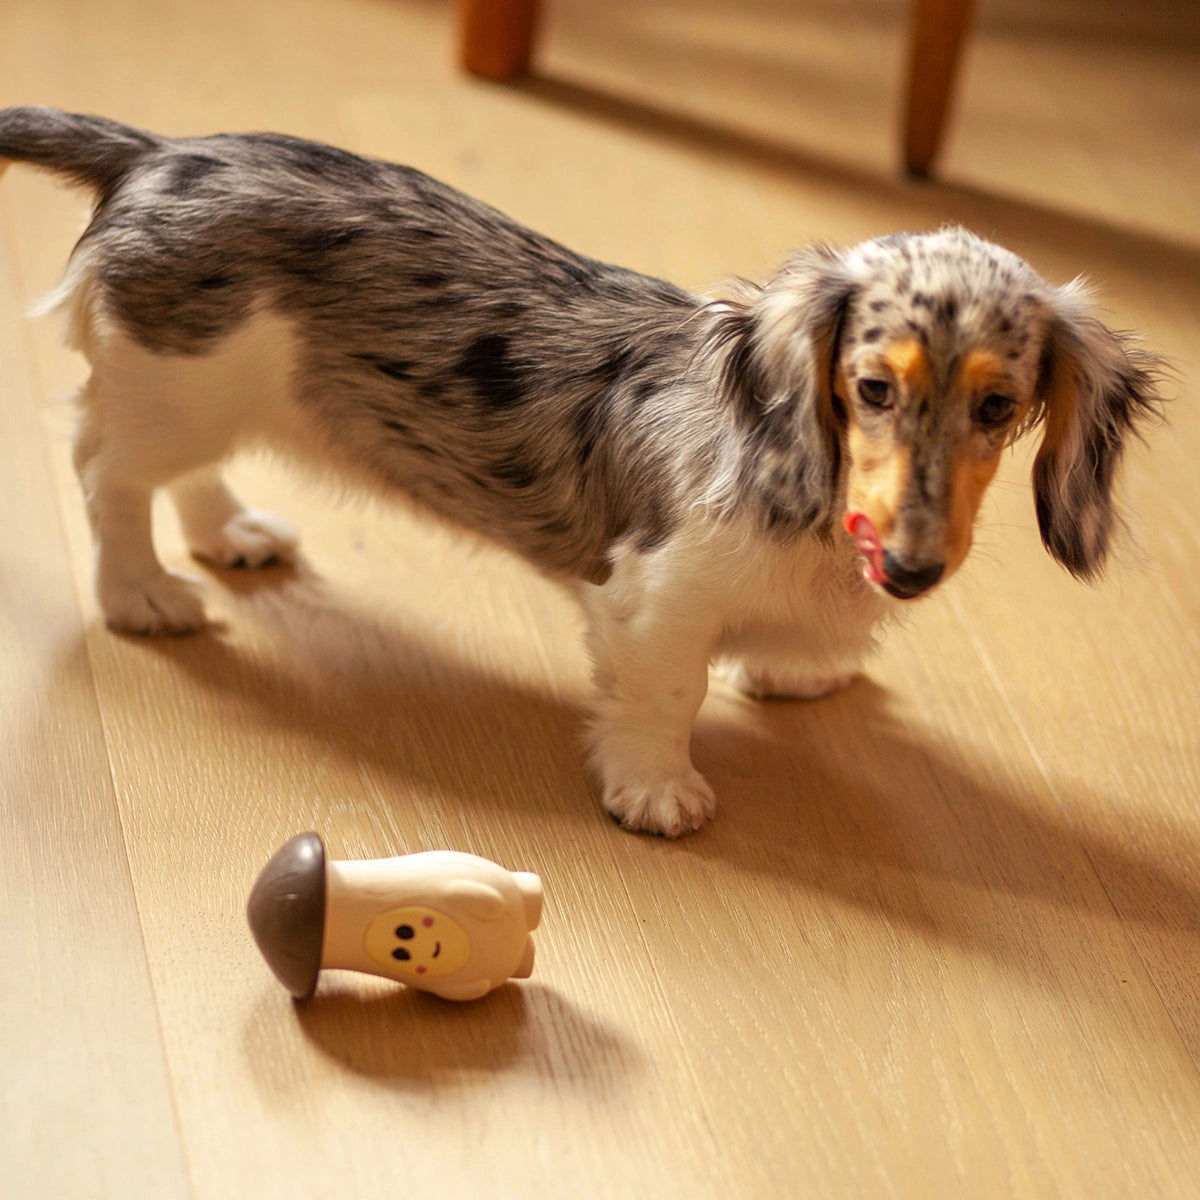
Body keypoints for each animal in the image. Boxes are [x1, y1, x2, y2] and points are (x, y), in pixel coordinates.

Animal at [0, 108, 1161, 835]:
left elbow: (792, 647)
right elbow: (666, 692)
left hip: (209, 400)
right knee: (107, 477)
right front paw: (656, 791)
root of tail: (155, 152)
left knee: (183, 476)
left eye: (999, 409)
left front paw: (801, 668)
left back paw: (229, 533)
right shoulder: (658, 595)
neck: (813, 508)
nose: (914, 571)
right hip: (173, 391)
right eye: (872, 388)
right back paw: (143, 592)